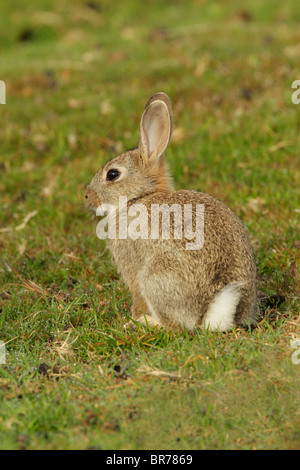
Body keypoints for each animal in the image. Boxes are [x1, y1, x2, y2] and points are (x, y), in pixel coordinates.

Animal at [84, 92, 258, 330]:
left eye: (112, 174)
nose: (87, 196)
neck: (138, 197)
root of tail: (211, 313)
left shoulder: (131, 266)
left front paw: (132, 317)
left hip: (155, 275)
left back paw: (147, 322)